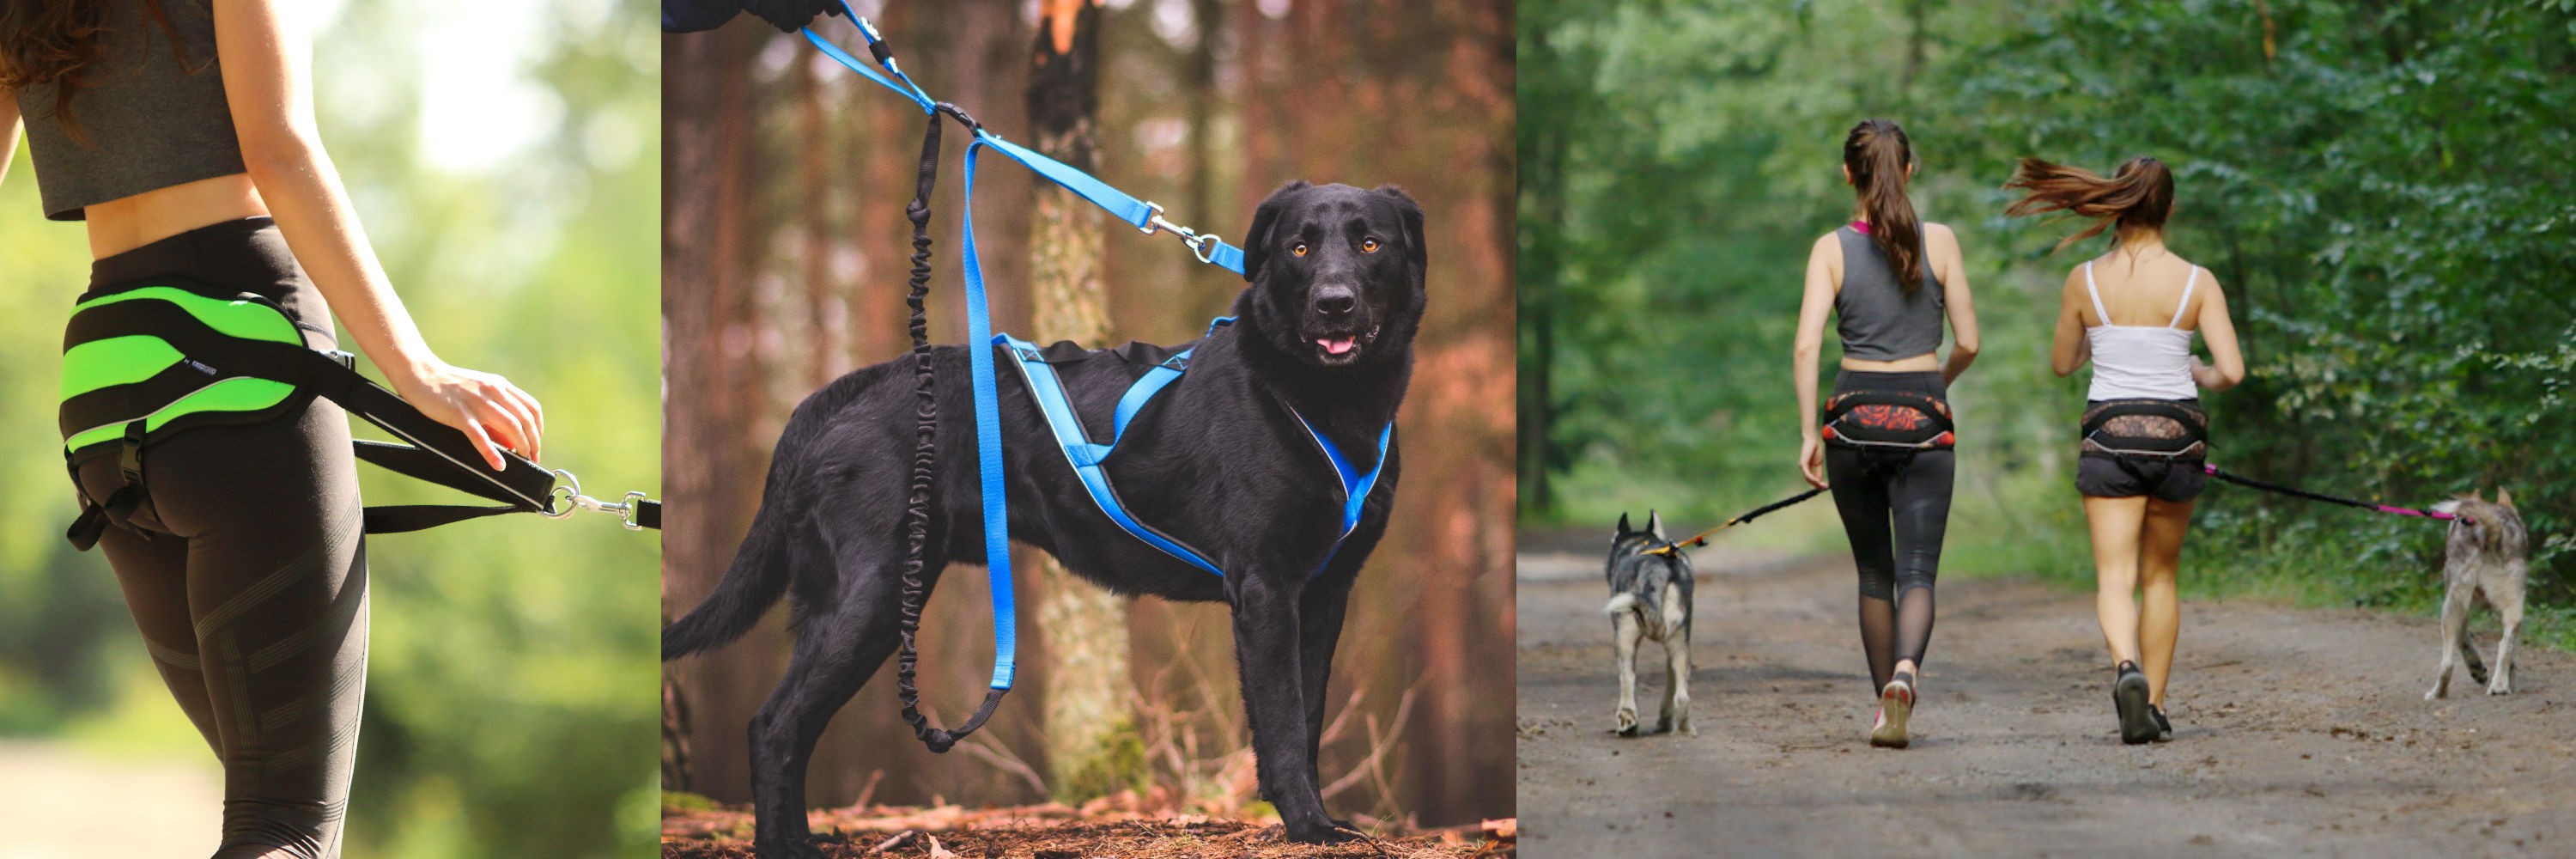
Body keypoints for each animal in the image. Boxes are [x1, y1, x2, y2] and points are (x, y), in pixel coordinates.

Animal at [665, 180, 1432, 850]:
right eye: (1299, 249)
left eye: (1369, 243)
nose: (1334, 304)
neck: (1316, 397)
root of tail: (846, 390)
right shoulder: (1267, 589)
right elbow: (1282, 723)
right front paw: (1312, 828)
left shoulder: (1324, 592)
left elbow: (1307, 716)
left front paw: (1314, 818)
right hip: (870, 597)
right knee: (774, 726)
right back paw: (784, 846)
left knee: (790, 728)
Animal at [1597, 510, 1700, 732]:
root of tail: (1657, 567)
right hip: (1680, 644)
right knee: (1682, 697)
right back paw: (1684, 727)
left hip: (1624, 639)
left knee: (1627, 680)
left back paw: (1628, 721)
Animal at [2421, 487, 2524, 696]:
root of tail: (2492, 530)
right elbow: (2512, 653)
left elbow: (2462, 639)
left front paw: (2477, 669)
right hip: (2514, 604)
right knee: (2505, 644)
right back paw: (2499, 686)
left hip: (2451, 605)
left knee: (2447, 663)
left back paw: (2437, 693)